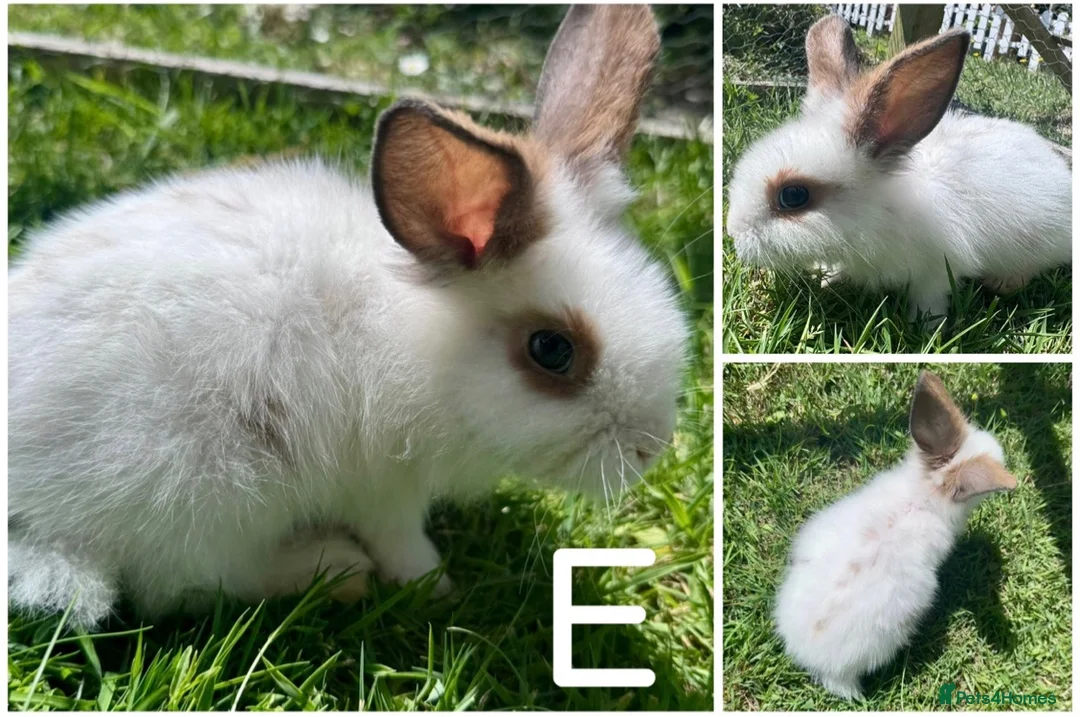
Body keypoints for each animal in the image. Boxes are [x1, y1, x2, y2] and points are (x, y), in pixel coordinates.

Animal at [7, 5, 687, 630]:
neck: (417, 339)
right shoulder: (385, 486)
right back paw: (334, 569)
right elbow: (402, 542)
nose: (650, 449)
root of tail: (34, 518)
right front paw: (437, 588)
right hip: (206, 496)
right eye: (552, 350)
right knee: (183, 586)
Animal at [726, 15, 1072, 323]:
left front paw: (926, 328)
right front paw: (827, 279)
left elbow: (930, 298)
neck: (881, 211)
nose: (734, 234)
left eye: (794, 196)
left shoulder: (938, 267)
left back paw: (1004, 283)